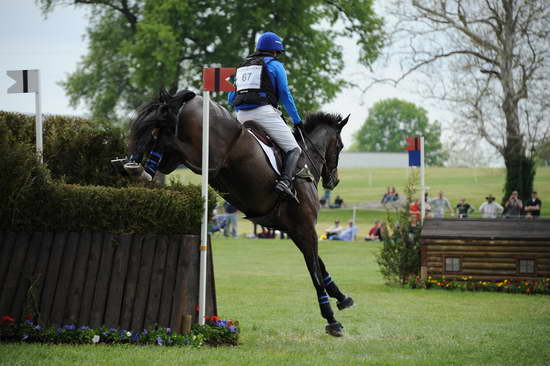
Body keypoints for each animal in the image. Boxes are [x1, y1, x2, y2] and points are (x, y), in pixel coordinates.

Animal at [128, 90, 354, 336]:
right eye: (340, 146)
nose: (334, 181)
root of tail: (193, 99)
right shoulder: (305, 227)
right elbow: (315, 273)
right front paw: (332, 320)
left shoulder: (295, 230)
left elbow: (320, 266)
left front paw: (342, 298)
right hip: (205, 161)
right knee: (171, 141)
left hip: (176, 161)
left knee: (161, 146)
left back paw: (137, 165)